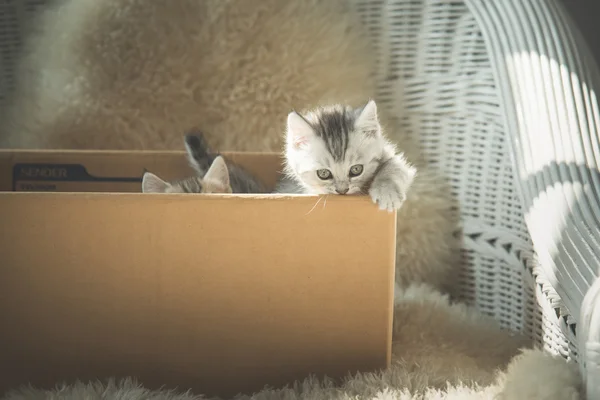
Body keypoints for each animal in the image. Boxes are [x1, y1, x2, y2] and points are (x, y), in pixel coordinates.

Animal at [276, 100, 412, 212]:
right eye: (323, 173)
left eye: (356, 169)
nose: (342, 191)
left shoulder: (388, 153)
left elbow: (395, 165)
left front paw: (387, 192)